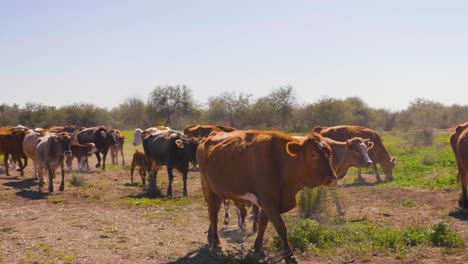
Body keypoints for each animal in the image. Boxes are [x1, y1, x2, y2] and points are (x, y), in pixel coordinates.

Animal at [197, 130, 336, 262]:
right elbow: (281, 228)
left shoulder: (266, 202)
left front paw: (257, 248)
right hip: (208, 189)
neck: (281, 162)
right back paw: (216, 243)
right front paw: (290, 256)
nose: (332, 178)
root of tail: (210, 136)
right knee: (213, 216)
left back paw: (210, 236)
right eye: (313, 154)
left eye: (329, 154)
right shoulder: (268, 202)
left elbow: (262, 224)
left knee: (214, 214)